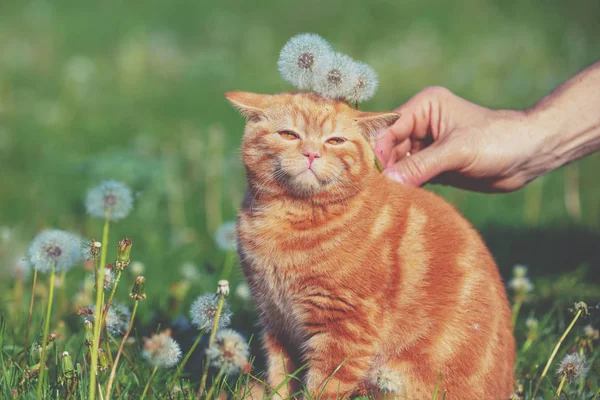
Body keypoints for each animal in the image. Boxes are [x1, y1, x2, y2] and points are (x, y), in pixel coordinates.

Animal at [226, 91, 516, 400]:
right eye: (289, 135)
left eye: (335, 141)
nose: (312, 154)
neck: (288, 221)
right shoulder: (276, 322)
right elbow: (280, 380)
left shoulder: (345, 329)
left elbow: (324, 388)